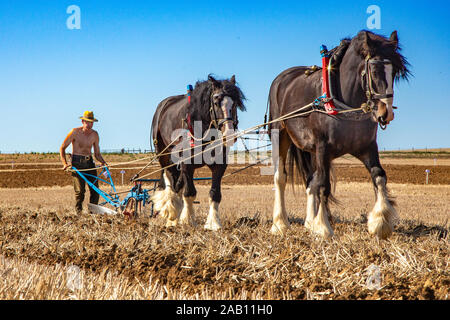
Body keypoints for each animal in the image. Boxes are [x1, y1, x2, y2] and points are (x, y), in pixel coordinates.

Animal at [150, 75, 246, 230]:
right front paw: (187, 220)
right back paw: (172, 218)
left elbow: (215, 193)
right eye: (216, 102)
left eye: (235, 103)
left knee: (177, 185)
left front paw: (213, 223)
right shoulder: (186, 164)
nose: (229, 134)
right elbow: (189, 193)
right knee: (170, 181)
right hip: (163, 155)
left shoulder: (219, 164)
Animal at [268, 30, 410, 240]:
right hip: (280, 135)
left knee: (311, 180)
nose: (386, 113)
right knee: (281, 178)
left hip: (311, 151)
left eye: (395, 72)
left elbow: (379, 175)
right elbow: (323, 185)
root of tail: (282, 78)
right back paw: (279, 224)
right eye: (374, 70)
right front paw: (323, 227)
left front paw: (380, 222)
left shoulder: (367, 147)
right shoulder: (323, 147)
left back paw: (308, 222)